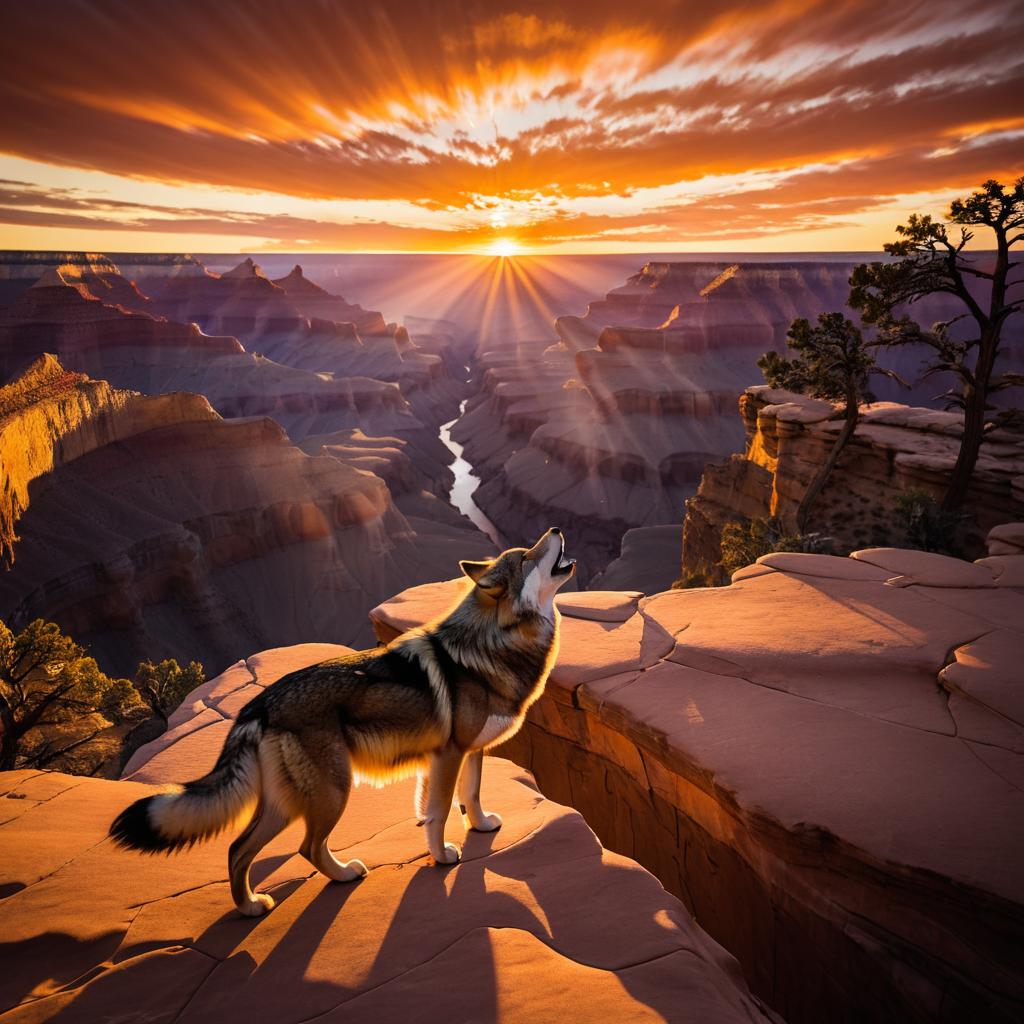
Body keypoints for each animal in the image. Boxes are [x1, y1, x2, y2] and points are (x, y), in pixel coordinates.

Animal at [114, 528, 577, 913]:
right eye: (529, 556)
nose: (556, 529)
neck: (491, 644)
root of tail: (257, 706)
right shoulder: (449, 753)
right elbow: (442, 810)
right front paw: (443, 856)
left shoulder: (466, 752)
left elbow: (471, 796)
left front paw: (480, 827)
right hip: (333, 790)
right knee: (306, 847)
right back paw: (343, 875)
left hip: (284, 804)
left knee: (237, 849)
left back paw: (250, 907)